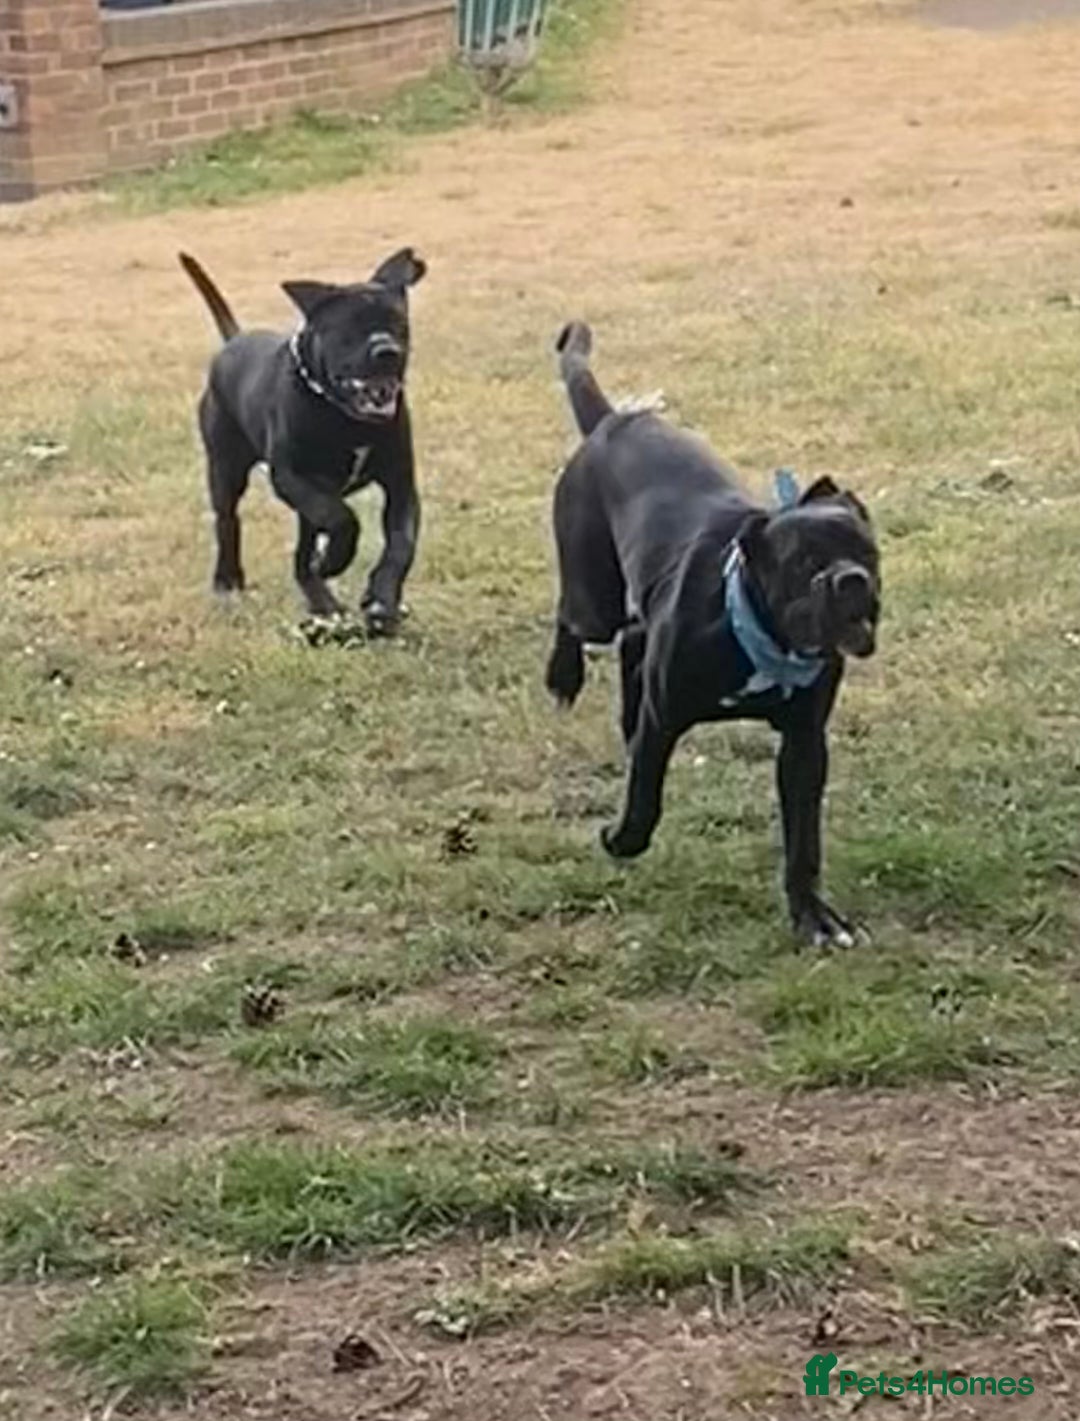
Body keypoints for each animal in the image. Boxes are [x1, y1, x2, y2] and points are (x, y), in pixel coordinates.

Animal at [179, 246, 426, 634]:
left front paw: (382, 600)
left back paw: (322, 602)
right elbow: (342, 518)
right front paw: (333, 561)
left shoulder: (401, 483)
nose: (387, 351)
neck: (344, 416)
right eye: (349, 328)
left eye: (399, 323)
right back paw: (228, 580)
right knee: (227, 522)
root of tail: (233, 340)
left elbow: (402, 543)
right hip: (225, 469)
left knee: (300, 557)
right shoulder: (291, 477)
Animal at [546, 323, 880, 947]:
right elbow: (644, 801)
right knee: (573, 616)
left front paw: (813, 917)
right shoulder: (664, 719)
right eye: (803, 563)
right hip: (592, 597)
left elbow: (803, 844)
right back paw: (562, 676)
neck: (755, 635)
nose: (851, 579)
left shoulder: (804, 745)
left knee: (633, 640)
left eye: (868, 552)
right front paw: (620, 840)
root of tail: (612, 422)